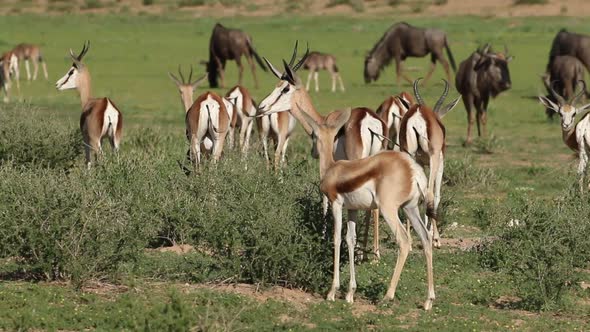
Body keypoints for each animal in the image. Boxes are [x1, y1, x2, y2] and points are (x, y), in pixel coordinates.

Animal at [56, 41, 123, 169]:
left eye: (71, 71)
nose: (57, 84)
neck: (88, 101)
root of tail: (107, 104)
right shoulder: (102, 138)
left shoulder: (86, 139)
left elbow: (88, 161)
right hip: (115, 140)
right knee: (116, 158)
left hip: (95, 141)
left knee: (102, 157)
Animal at [260, 40, 388, 260]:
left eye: (285, 88)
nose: (261, 107)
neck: (322, 122)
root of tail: (369, 119)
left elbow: (325, 200)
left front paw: (323, 235)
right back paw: (370, 253)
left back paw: (367, 253)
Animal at [298, 105, 438, 308]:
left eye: (313, 135)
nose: (313, 152)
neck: (332, 169)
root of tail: (414, 171)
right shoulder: (353, 209)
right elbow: (350, 239)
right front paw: (350, 293)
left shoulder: (336, 205)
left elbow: (336, 238)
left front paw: (332, 291)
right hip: (410, 209)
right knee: (426, 239)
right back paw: (428, 300)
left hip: (389, 210)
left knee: (404, 241)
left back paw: (387, 295)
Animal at [402, 79, 462, 248]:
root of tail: (417, 114)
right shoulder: (439, 163)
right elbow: (436, 194)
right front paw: (434, 237)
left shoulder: (421, 164)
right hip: (434, 160)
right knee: (429, 192)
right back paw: (434, 239)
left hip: (408, 155)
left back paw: (409, 241)